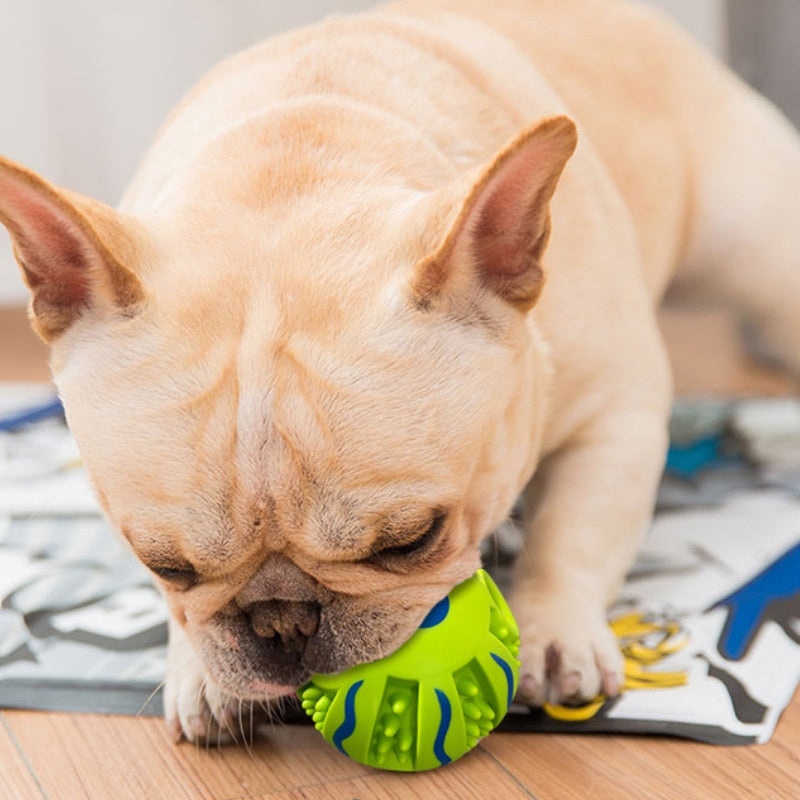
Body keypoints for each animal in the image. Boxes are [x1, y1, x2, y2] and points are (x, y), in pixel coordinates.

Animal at [1, 0, 800, 744]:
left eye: (411, 541)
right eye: (165, 565)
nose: (283, 620)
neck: (301, 159)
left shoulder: (615, 419)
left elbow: (572, 535)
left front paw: (554, 636)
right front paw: (197, 673)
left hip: (762, 252)